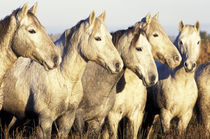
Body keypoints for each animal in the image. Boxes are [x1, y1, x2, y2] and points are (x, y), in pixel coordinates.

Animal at [0, 10, 123, 138]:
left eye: (110, 37)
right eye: (97, 38)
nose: (118, 64)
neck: (63, 77)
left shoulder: (68, 117)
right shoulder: (45, 119)